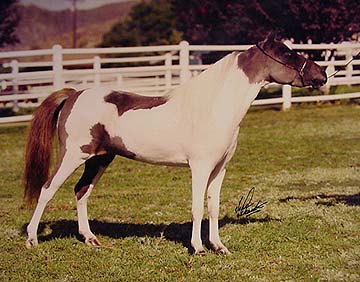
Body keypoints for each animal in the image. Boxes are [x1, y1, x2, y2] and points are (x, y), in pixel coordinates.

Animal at [22, 34, 326, 254]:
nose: (321, 75)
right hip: (73, 155)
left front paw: (219, 247)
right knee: (47, 189)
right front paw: (198, 248)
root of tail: (74, 94)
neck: (213, 106)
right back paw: (32, 239)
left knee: (81, 191)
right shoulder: (200, 168)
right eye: (287, 54)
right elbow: (197, 207)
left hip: (100, 158)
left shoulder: (219, 169)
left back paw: (90, 239)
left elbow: (213, 206)